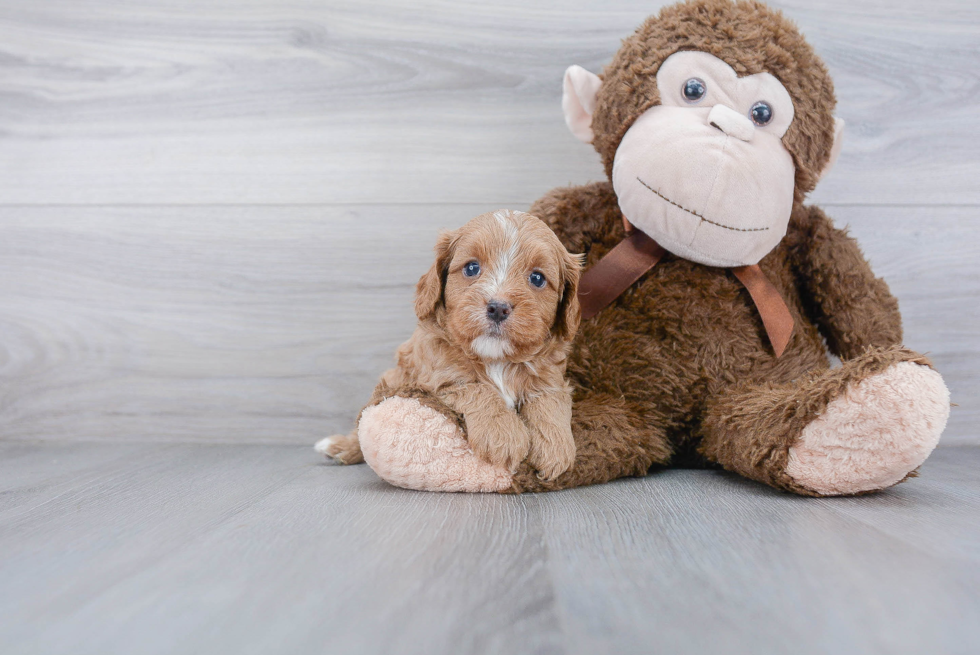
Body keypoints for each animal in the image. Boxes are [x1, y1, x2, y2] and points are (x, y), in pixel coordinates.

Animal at [318, 210, 584, 482]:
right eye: (472, 268)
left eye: (538, 278)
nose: (498, 307)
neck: (496, 359)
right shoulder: (439, 377)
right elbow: (477, 388)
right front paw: (503, 436)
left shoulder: (551, 375)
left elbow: (550, 400)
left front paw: (555, 448)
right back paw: (341, 447)